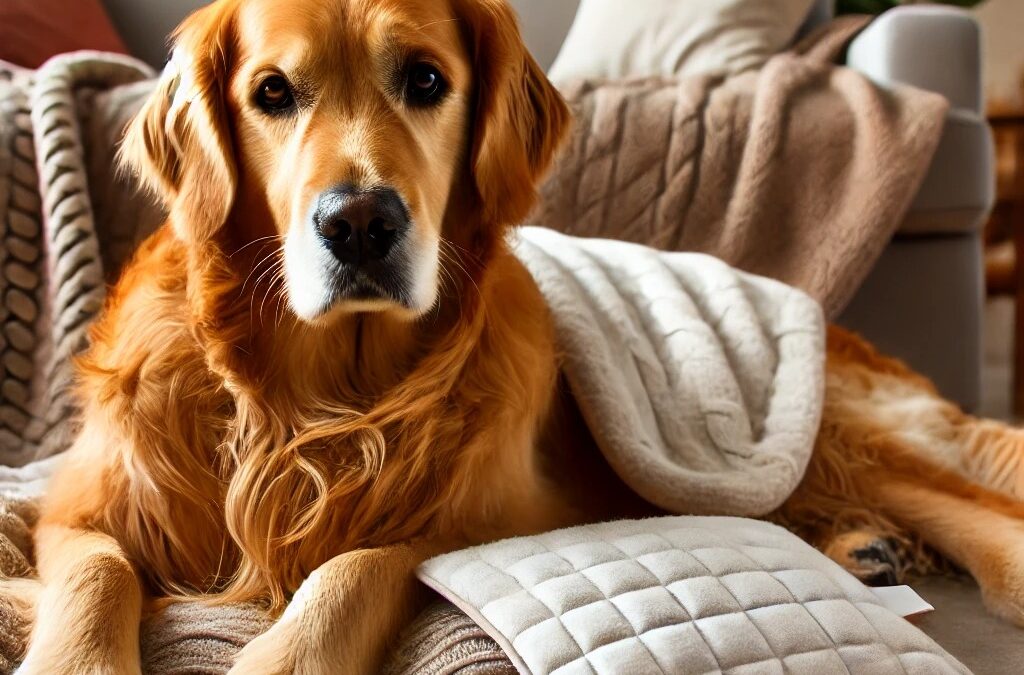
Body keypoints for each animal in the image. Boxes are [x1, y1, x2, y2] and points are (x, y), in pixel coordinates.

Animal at [6, 0, 1024, 671]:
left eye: (425, 79)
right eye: (273, 92)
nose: (360, 223)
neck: (318, 399)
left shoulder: (495, 515)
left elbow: (359, 563)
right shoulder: (78, 506)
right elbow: (96, 581)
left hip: (811, 426)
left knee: (964, 500)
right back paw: (862, 547)